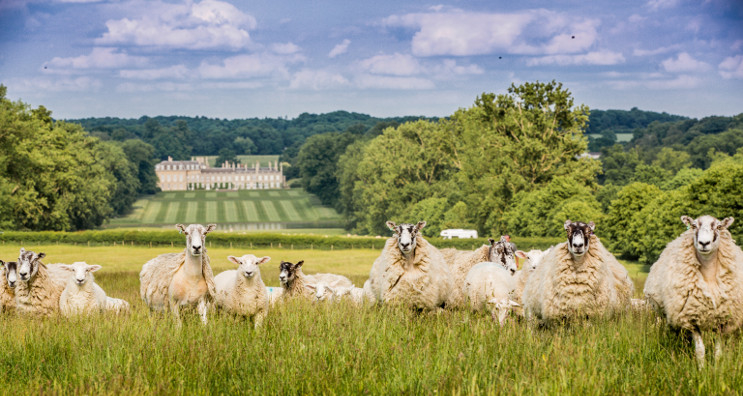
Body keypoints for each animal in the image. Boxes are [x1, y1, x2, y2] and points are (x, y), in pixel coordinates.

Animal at [644, 215, 743, 366]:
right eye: (694, 226)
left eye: (719, 226)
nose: (704, 243)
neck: (709, 278)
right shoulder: (691, 318)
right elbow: (700, 351)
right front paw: (701, 369)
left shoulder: (722, 319)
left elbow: (718, 352)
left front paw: (717, 368)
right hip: (665, 313)